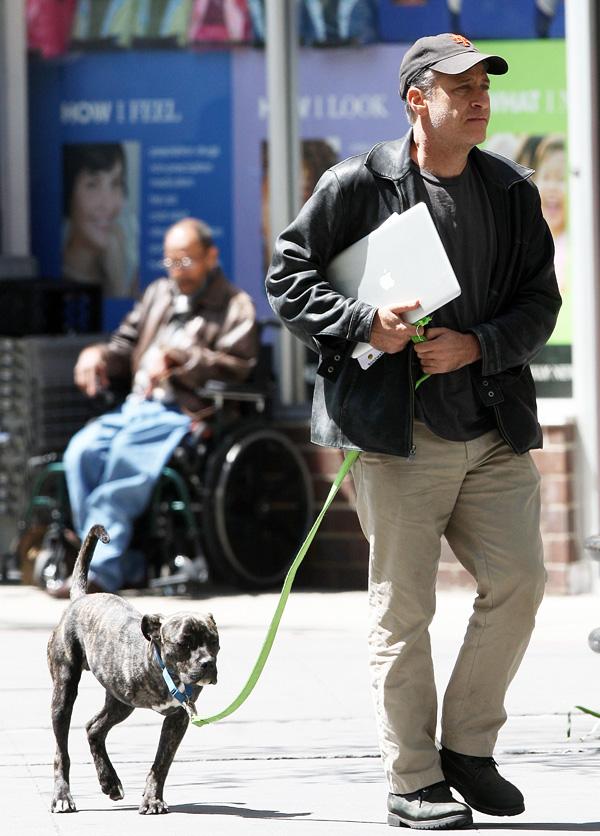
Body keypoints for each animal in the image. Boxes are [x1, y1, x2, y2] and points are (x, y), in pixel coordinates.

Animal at [47, 524, 219, 812]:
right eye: (184, 643)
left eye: (214, 641)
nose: (208, 664)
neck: (164, 670)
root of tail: (80, 599)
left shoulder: (177, 719)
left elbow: (161, 763)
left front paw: (152, 799)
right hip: (64, 694)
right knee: (62, 751)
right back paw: (62, 796)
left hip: (120, 703)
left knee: (94, 728)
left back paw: (110, 782)